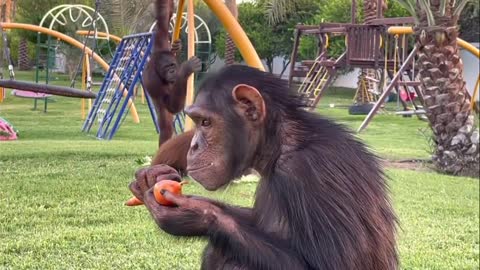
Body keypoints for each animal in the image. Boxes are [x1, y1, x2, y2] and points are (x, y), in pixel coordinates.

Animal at [129, 64, 400, 268]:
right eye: (196, 121)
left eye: (205, 122)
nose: (193, 145)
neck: (279, 144)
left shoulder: (312, 171)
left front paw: (197, 215)